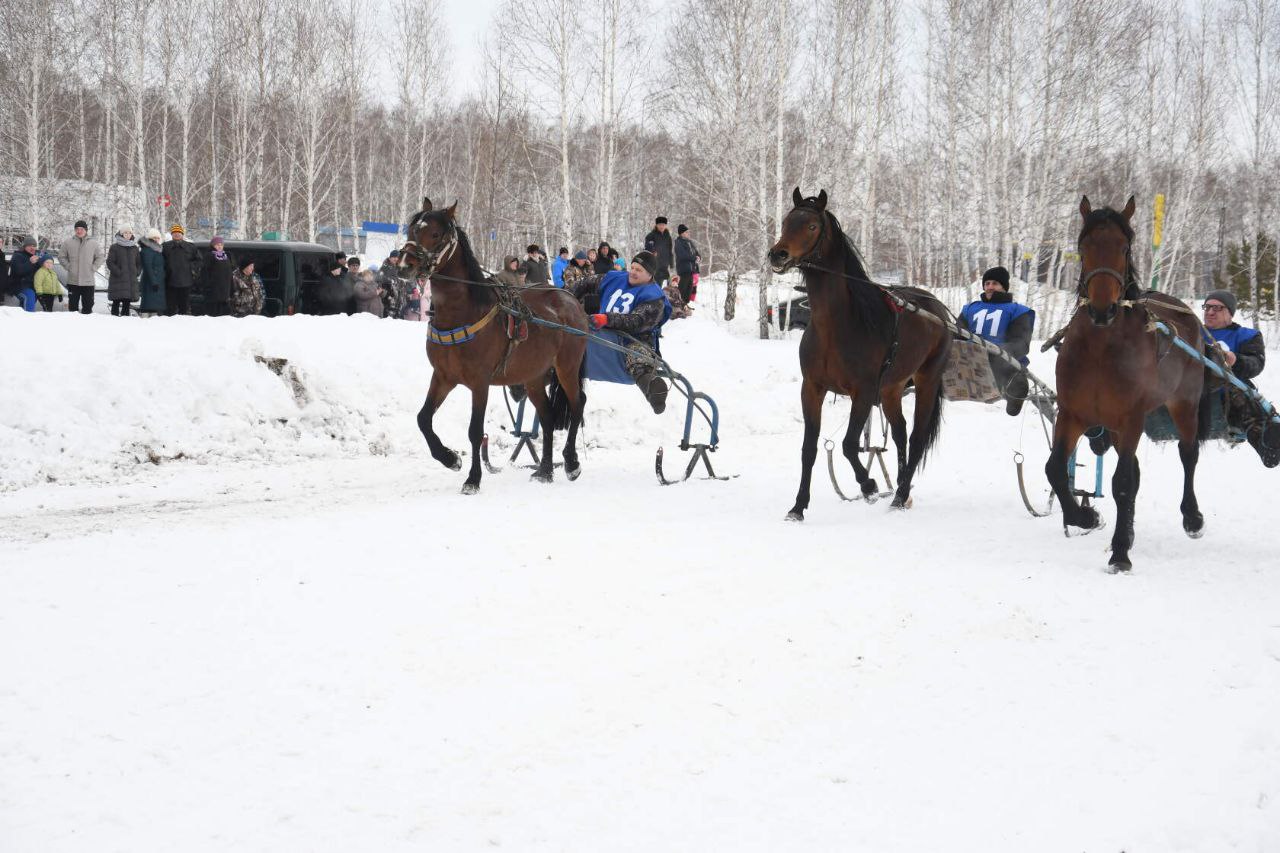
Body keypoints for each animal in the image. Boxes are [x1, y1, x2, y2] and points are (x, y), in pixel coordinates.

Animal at [396, 197, 586, 491]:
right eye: (413, 229)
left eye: (436, 234)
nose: (404, 265)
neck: (463, 311)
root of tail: (570, 299)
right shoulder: (443, 376)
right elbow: (423, 419)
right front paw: (450, 458)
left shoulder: (480, 382)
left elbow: (475, 431)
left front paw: (473, 479)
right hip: (533, 377)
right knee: (547, 417)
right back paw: (544, 470)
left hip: (567, 368)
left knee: (577, 407)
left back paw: (571, 463)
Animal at [768, 188, 952, 514]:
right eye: (787, 222)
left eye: (811, 226)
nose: (778, 255)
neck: (837, 326)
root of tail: (938, 310)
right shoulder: (812, 388)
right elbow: (808, 449)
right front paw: (798, 507)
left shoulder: (863, 392)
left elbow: (849, 445)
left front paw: (869, 485)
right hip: (892, 389)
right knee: (900, 432)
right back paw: (899, 491)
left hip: (926, 381)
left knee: (916, 438)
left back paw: (900, 495)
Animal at [1044, 197, 1203, 571]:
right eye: (1083, 245)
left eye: (1124, 247)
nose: (1103, 309)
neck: (1100, 349)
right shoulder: (1073, 413)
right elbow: (1055, 468)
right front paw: (1085, 517)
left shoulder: (1132, 418)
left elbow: (1123, 483)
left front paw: (1119, 553)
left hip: (1185, 401)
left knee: (1188, 453)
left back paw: (1192, 517)